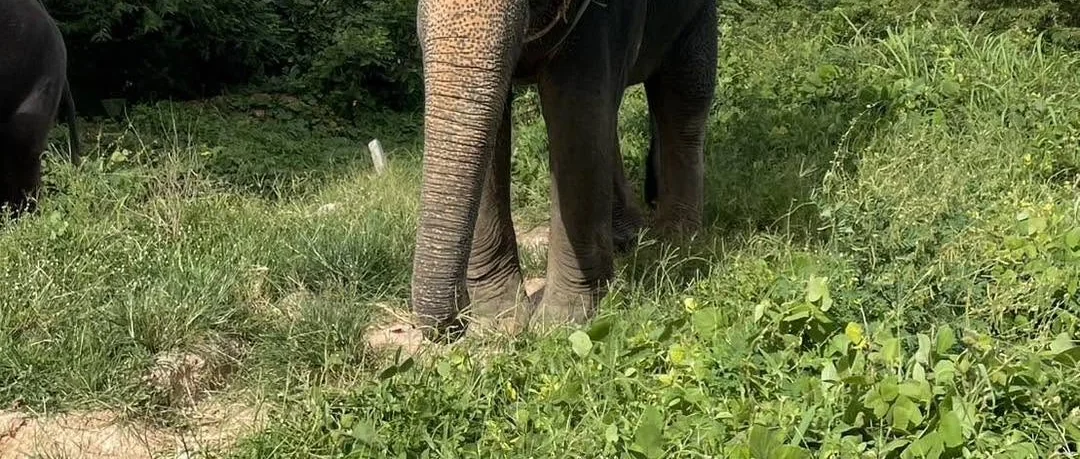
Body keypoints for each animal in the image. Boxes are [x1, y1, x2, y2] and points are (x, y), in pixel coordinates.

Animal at [410, 0, 718, 341]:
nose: (459, 321)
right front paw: (499, 323)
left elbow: (578, 108)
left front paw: (559, 324)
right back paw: (627, 239)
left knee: (685, 93)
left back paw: (677, 240)